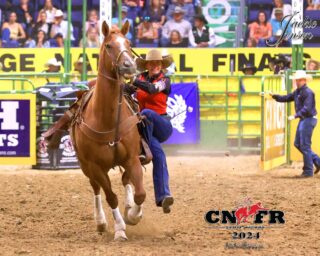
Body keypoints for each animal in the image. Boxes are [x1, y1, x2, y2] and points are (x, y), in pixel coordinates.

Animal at [70, 21, 146, 241]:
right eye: (110, 45)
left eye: (128, 43)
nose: (129, 66)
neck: (108, 119)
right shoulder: (96, 167)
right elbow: (111, 197)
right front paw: (120, 228)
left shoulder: (132, 158)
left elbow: (140, 192)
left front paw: (133, 215)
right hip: (85, 167)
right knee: (96, 189)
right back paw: (101, 222)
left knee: (126, 180)